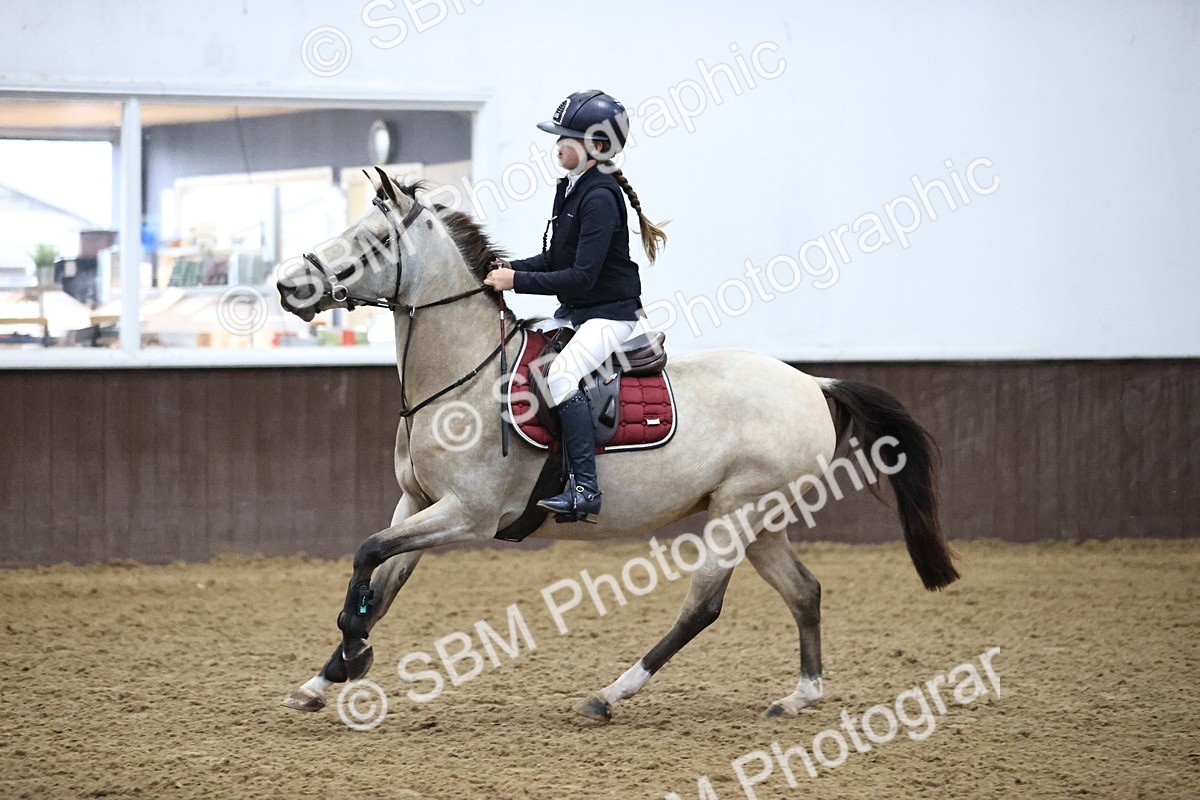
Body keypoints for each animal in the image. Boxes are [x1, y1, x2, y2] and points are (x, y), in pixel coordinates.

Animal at [277, 168, 958, 721]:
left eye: (374, 241)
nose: (290, 285)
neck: (463, 375)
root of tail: (812, 383)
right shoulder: (418, 503)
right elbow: (383, 578)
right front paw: (326, 675)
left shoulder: (466, 514)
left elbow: (367, 553)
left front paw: (352, 647)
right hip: (762, 518)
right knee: (803, 591)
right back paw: (801, 695)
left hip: (739, 510)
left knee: (703, 606)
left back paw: (610, 694)